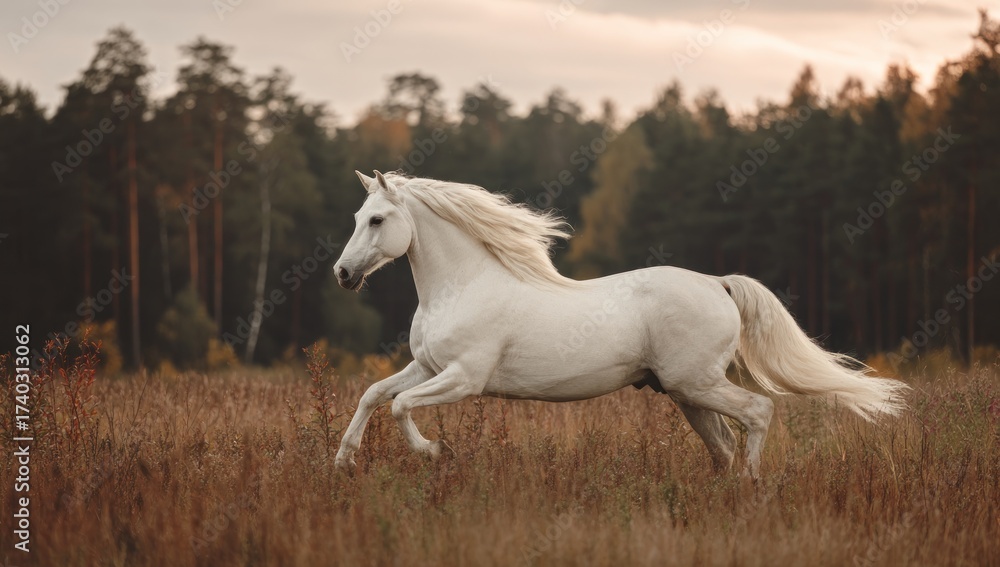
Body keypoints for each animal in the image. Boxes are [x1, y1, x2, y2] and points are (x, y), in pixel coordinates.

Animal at [332, 170, 909, 478]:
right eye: (357, 217)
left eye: (377, 219)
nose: (342, 274)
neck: (461, 286)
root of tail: (717, 283)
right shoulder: (426, 366)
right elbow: (373, 395)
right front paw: (343, 462)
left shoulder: (463, 378)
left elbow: (401, 406)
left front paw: (433, 451)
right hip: (687, 393)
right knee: (722, 441)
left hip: (696, 383)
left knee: (758, 412)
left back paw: (751, 483)